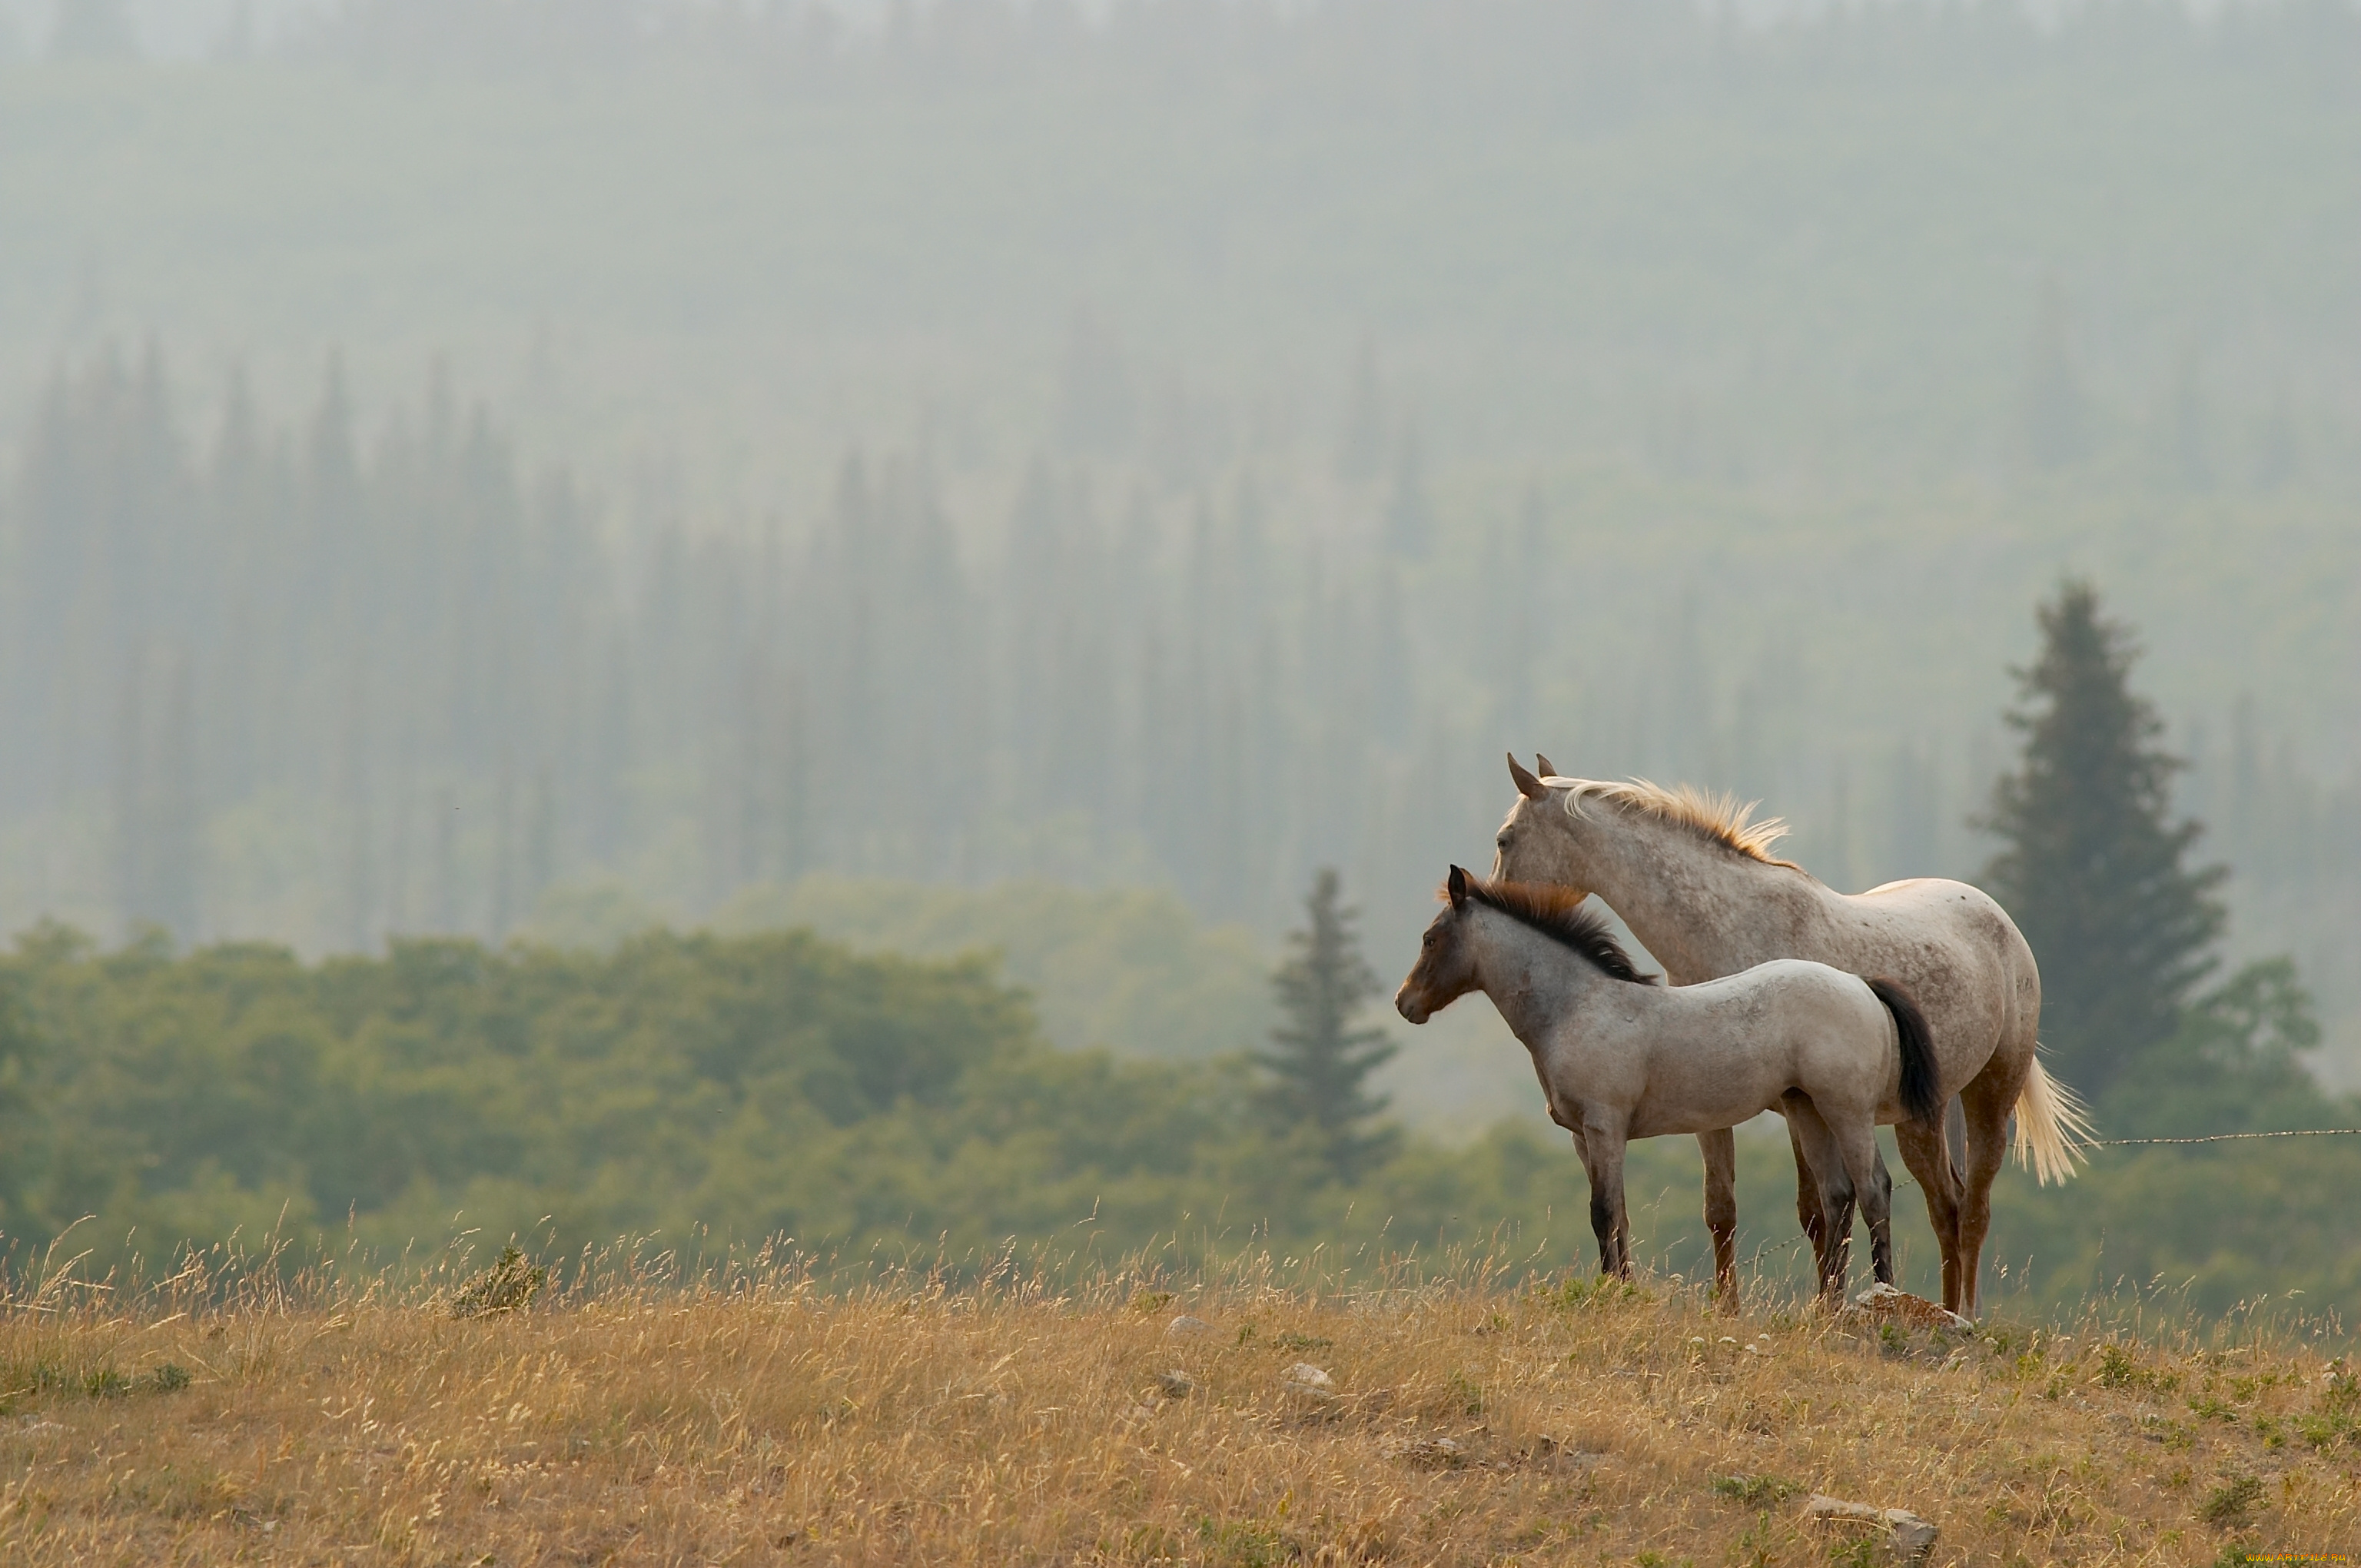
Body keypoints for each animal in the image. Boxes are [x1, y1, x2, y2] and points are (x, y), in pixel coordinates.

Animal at [1492, 756, 2087, 1313]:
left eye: (1504, 839)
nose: (1491, 900)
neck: (1731, 925)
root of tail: (1999, 919)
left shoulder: (1800, 1106)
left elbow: (1824, 1209)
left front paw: (1828, 1303)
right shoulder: (1723, 1107)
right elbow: (1726, 1208)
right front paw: (1733, 1309)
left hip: (1986, 1096)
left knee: (1970, 1210)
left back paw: (1961, 1315)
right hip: (1924, 1115)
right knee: (1947, 1205)